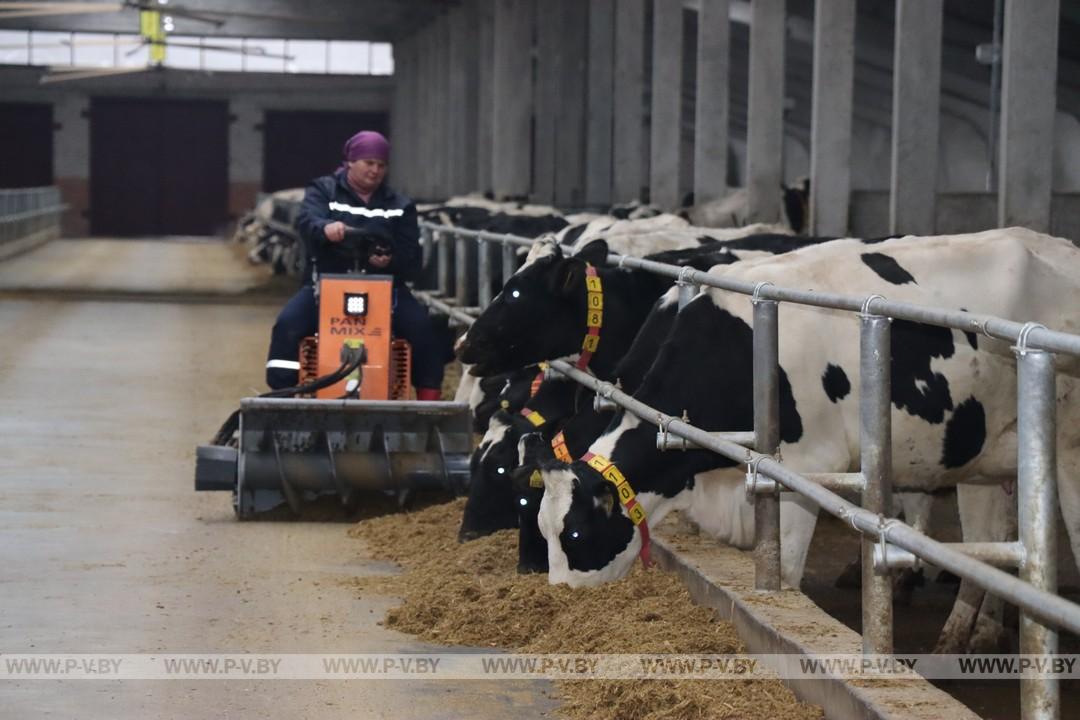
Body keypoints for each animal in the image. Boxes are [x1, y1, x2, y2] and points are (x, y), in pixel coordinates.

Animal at [537, 226, 1080, 595]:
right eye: (541, 526)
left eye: (575, 532)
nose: (560, 593)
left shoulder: (804, 464)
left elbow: (788, 569)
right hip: (981, 453)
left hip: (1066, 448)